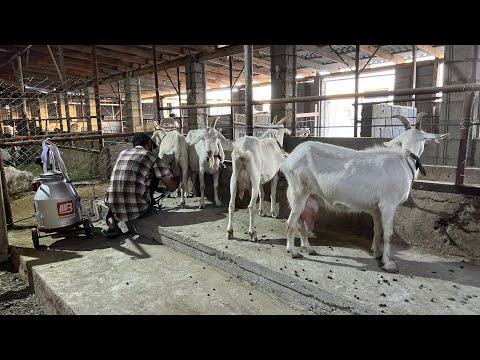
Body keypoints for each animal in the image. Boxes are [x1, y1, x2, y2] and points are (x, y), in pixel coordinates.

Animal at [280, 112, 448, 272]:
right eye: (424, 140)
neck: (404, 160)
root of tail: (288, 160)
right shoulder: (388, 205)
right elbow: (388, 234)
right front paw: (389, 263)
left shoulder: (377, 208)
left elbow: (377, 230)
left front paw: (377, 252)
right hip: (299, 191)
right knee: (290, 223)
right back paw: (294, 252)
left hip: (305, 197)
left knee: (301, 224)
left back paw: (308, 248)